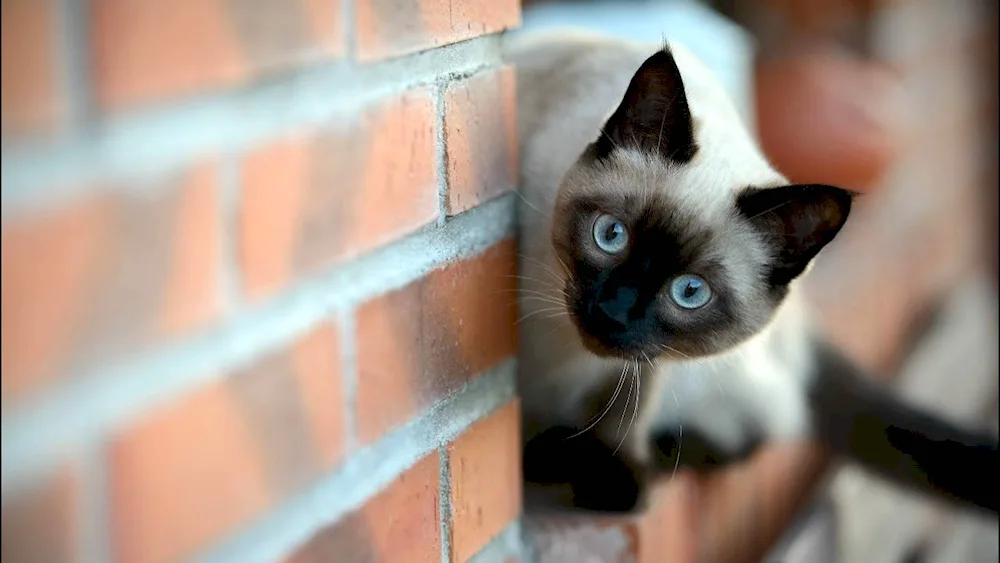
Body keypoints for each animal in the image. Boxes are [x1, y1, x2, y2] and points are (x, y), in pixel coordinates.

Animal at [504, 30, 996, 516]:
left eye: (689, 292)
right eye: (610, 235)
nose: (613, 311)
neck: (566, 349)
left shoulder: (651, 359)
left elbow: (628, 408)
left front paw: (612, 479)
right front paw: (533, 464)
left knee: (766, 428)